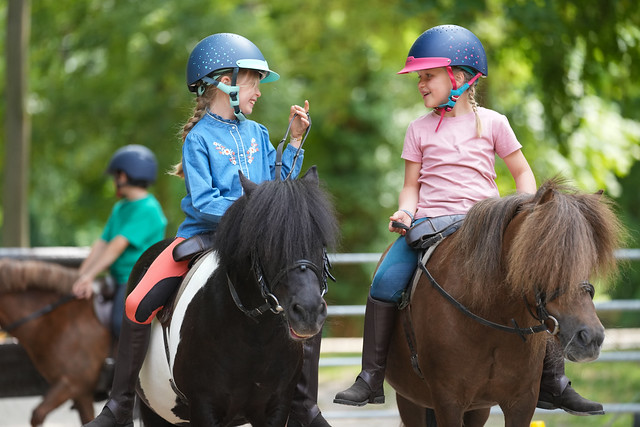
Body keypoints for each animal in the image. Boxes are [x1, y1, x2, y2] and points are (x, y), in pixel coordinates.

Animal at [132, 168, 338, 427]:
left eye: (320, 242)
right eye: (267, 243)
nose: (308, 312)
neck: (254, 337)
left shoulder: (277, 407)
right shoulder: (204, 407)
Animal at [388, 179, 624, 426]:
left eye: (587, 260)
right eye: (541, 257)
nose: (590, 338)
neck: (492, 318)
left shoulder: (521, 402)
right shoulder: (448, 402)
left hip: (477, 409)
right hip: (411, 400)